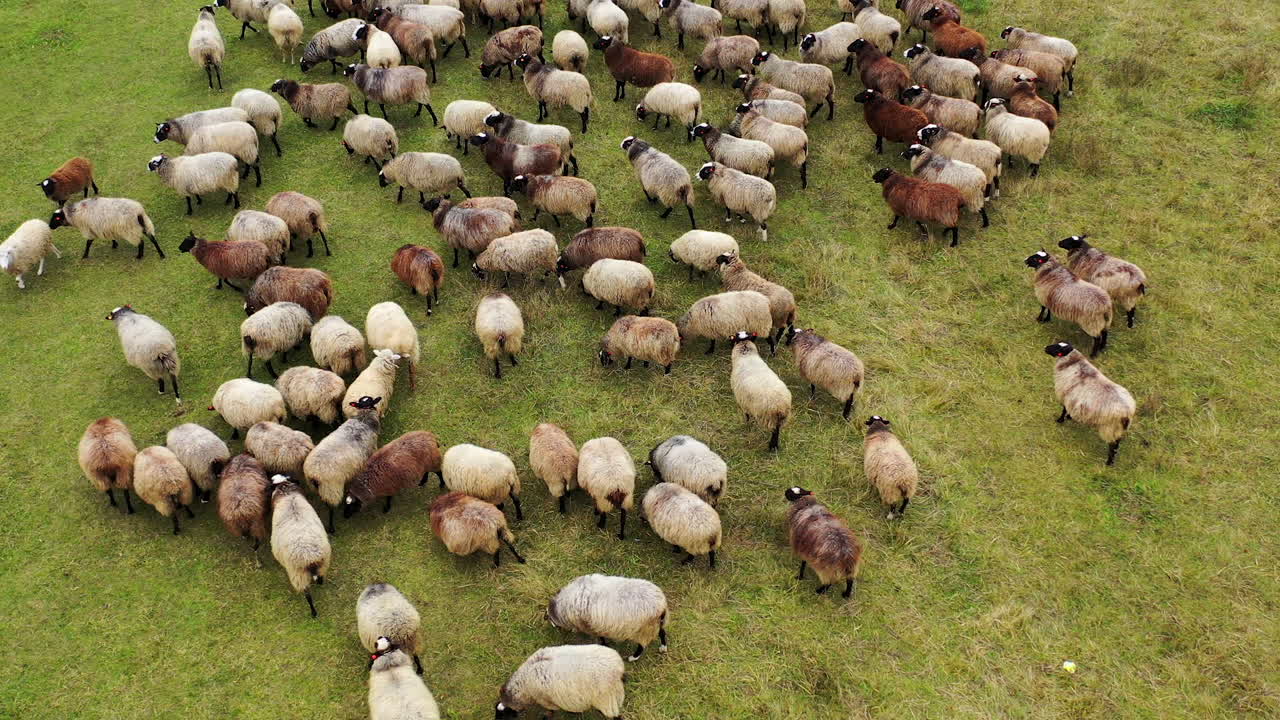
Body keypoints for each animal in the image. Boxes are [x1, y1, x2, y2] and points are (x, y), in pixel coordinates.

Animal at [269, 475, 332, 616]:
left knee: (307, 595)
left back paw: (313, 613)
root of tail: (309, 556)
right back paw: (319, 583)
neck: (286, 493)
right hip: (323, 563)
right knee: (320, 578)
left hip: (298, 574)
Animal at [306, 394, 382, 532]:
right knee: (330, 507)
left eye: (368, 400)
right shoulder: (371, 451)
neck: (362, 418)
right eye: (371, 402)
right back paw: (331, 528)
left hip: (318, 488)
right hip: (331, 489)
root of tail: (313, 475)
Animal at [495, 645, 625, 719]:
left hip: (606, 698)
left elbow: (551, 710)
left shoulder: (545, 700)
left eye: (504, 715)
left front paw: (548, 716)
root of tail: (618, 666)